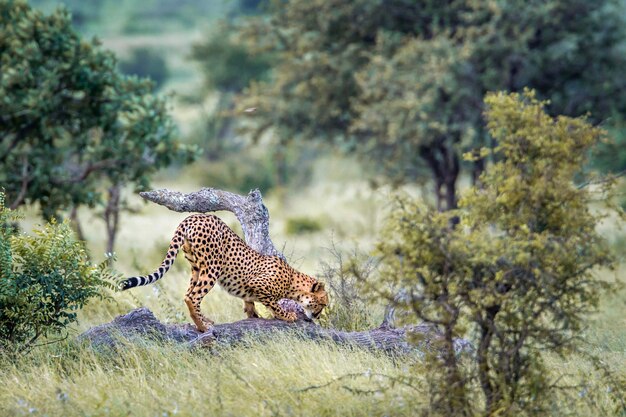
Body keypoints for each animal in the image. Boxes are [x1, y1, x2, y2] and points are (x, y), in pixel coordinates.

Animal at [119, 213, 330, 330]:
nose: (317, 316)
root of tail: (193, 216)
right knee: (193, 297)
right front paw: (287, 316)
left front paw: (253, 316)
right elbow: (274, 304)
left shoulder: (250, 290)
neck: (293, 281)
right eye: (323, 304)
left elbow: (250, 304)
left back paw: (205, 321)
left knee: (188, 294)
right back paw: (202, 327)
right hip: (211, 268)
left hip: (196, 267)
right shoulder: (258, 284)